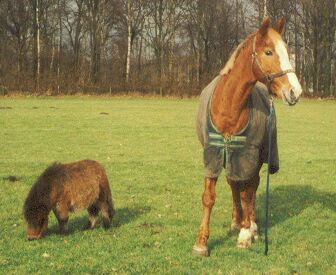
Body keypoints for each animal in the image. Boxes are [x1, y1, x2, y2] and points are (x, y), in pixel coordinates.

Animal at [192, 17, 302, 258]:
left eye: (287, 49)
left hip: (257, 157)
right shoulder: (213, 155)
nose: (295, 92)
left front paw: (245, 234)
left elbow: (247, 193)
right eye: (269, 52)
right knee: (235, 184)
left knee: (252, 187)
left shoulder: (247, 156)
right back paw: (237, 221)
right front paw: (202, 242)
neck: (228, 107)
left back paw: (251, 226)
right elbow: (209, 197)